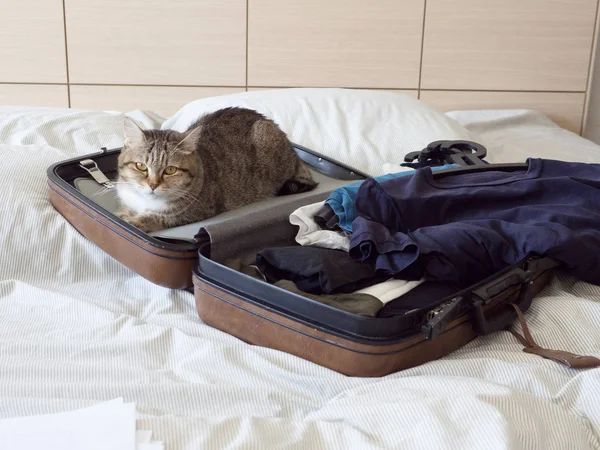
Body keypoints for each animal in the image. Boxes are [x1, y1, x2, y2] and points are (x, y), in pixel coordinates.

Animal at [114, 108, 316, 232]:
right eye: (141, 166)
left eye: (170, 170)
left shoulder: (195, 210)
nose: (153, 185)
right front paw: (125, 214)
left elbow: (155, 217)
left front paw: (134, 220)